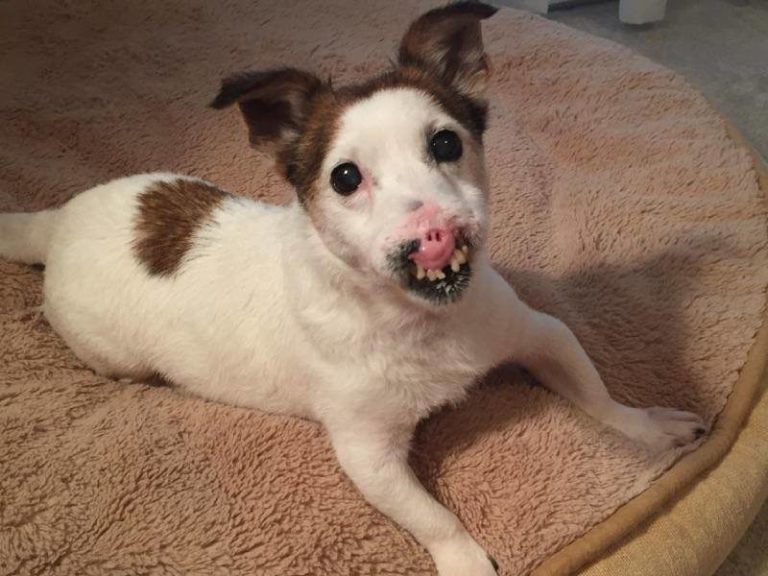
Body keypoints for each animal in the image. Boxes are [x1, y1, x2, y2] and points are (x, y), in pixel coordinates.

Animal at [1, 2, 708, 572]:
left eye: (446, 143)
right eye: (345, 178)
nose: (432, 231)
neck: (419, 322)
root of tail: (56, 220)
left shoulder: (541, 334)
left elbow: (599, 396)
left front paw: (646, 429)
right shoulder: (369, 455)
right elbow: (434, 518)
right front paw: (465, 561)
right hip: (112, 354)